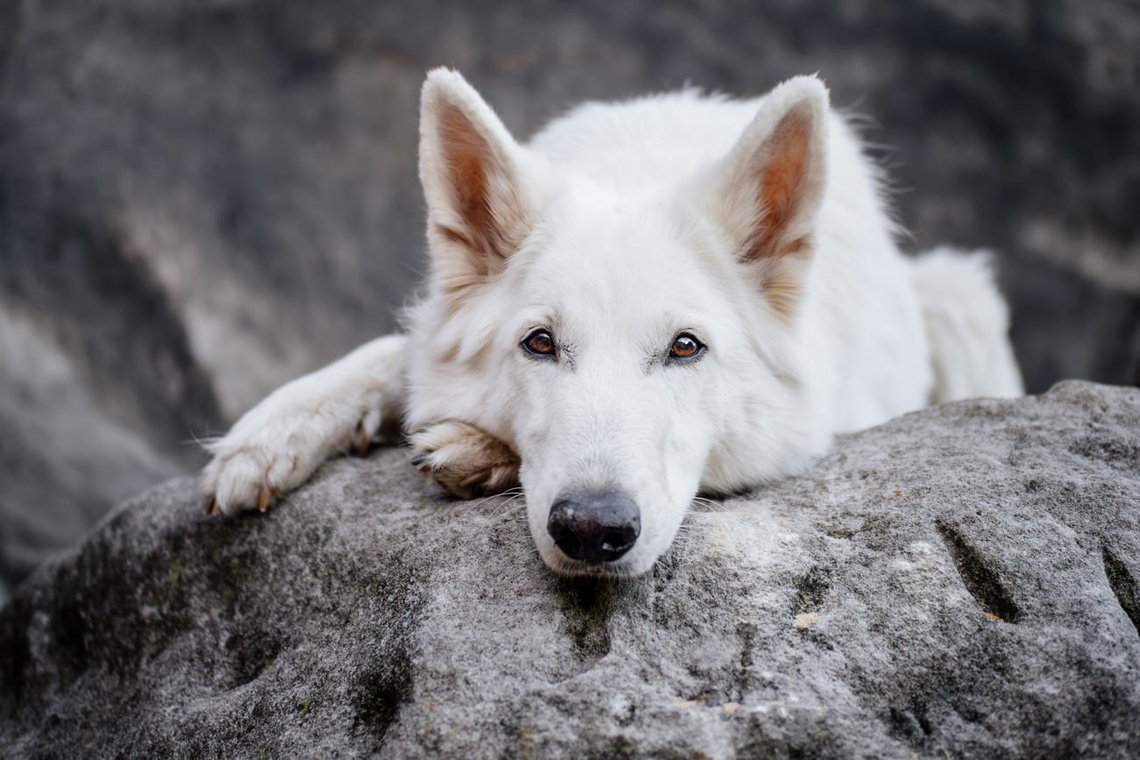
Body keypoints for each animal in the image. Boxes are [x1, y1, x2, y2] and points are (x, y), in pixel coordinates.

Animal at [198, 69, 1026, 576]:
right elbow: (392, 352)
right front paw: (271, 434)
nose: (592, 531)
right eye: (539, 343)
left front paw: (472, 449)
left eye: (686, 348)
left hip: (961, 300)